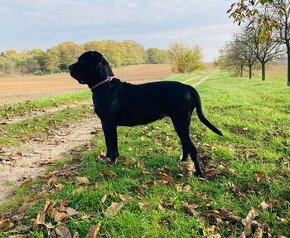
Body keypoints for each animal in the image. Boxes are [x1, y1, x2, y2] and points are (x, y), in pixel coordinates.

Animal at [69, 51, 223, 178]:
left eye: (81, 61)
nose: (69, 67)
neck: (104, 86)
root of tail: (188, 87)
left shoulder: (110, 123)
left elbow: (113, 144)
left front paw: (112, 162)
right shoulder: (104, 123)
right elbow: (108, 144)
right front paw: (107, 158)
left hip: (180, 121)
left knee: (192, 147)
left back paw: (199, 173)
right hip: (181, 123)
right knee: (186, 144)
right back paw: (183, 160)